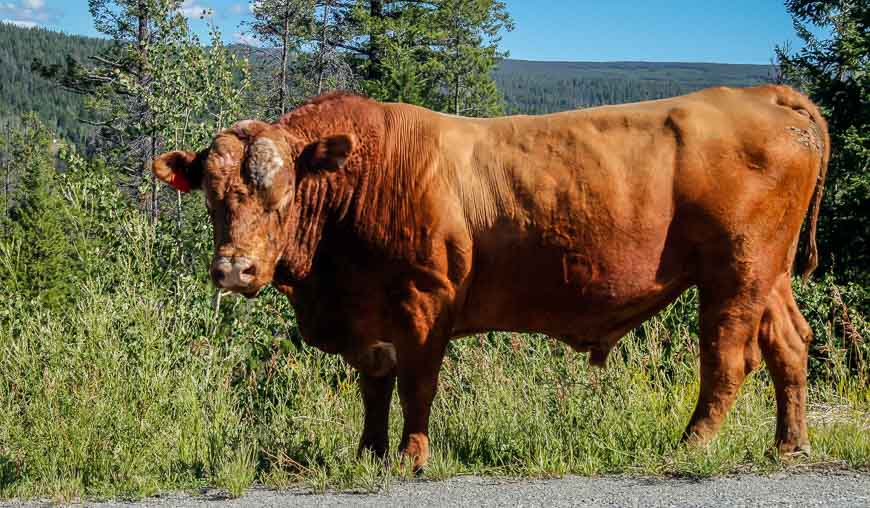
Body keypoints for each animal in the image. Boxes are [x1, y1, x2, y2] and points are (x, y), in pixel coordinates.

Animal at [155, 85, 832, 470]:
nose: (233, 268)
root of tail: (758, 91)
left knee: (728, 357)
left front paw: (411, 457)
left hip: (736, 271)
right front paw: (369, 452)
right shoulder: (369, 316)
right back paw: (788, 443)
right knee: (789, 345)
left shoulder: (422, 301)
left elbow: (416, 385)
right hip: (768, 274)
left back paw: (692, 444)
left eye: (283, 192)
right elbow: (375, 386)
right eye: (211, 197)